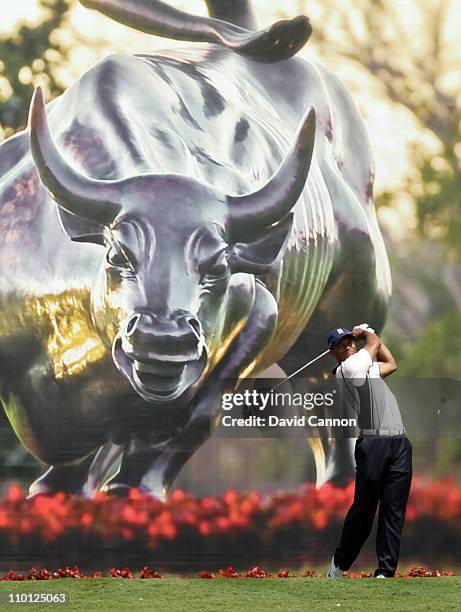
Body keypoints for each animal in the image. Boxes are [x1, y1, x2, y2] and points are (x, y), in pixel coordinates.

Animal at [0, 0, 392, 498]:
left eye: (219, 265)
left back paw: (339, 486)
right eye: (116, 254)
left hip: (346, 312)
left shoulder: (256, 312)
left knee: (331, 396)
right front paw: (55, 490)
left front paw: (133, 488)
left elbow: (191, 418)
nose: (163, 338)